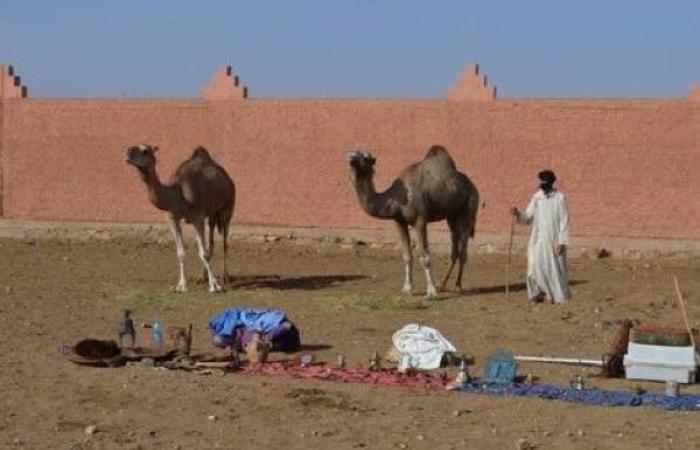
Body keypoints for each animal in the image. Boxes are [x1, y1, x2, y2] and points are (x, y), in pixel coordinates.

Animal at [124, 144, 237, 292]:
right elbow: (181, 252)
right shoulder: (173, 219)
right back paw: (202, 277)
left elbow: (203, 253)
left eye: (145, 151)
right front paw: (182, 285)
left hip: (228, 208)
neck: (177, 194)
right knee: (211, 240)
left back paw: (225, 277)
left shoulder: (198, 218)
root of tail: (228, 178)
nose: (127, 152)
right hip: (212, 214)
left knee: (224, 242)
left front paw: (214, 286)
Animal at [348, 146, 478, 298]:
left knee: (463, 250)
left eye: (365, 158)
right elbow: (407, 255)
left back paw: (458, 286)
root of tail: (471, 184)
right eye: (351, 154)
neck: (395, 200)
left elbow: (425, 256)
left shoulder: (420, 220)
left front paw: (431, 292)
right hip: (452, 215)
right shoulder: (399, 222)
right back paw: (443, 285)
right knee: (454, 248)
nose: (350, 160)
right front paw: (407, 289)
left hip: (469, 208)